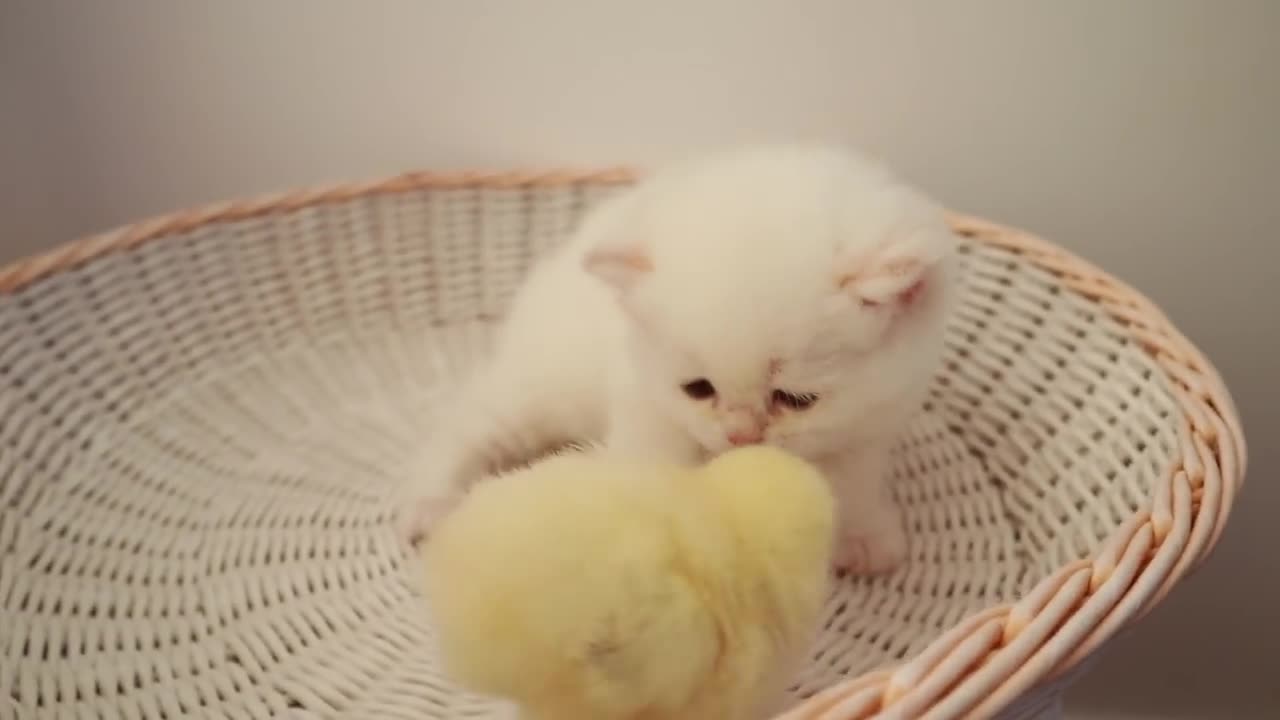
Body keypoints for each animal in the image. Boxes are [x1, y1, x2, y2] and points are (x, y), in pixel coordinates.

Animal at [394, 142, 957, 573]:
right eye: (698, 389)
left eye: (795, 399)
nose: (741, 437)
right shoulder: (645, 405)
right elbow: (658, 468)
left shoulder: (874, 421)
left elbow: (850, 478)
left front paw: (864, 535)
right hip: (537, 383)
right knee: (470, 423)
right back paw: (430, 503)